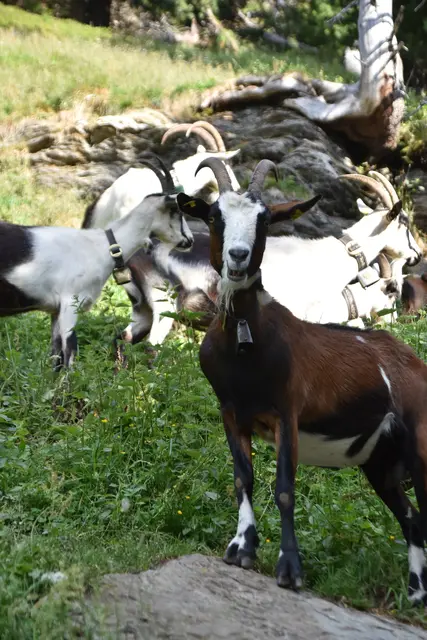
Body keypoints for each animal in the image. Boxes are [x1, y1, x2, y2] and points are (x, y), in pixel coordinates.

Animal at [0, 164, 193, 369]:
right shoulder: (70, 304)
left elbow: (55, 359)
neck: (101, 246)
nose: (190, 240)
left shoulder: (55, 310)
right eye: (177, 212)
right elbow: (70, 355)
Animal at [177, 157, 427, 604]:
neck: (247, 340)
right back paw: (416, 592)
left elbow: (284, 488)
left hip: (420, 443)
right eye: (215, 215)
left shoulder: (286, 414)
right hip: (381, 462)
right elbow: (242, 479)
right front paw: (241, 549)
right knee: (413, 518)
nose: (238, 257)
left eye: (263, 219)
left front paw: (290, 569)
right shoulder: (231, 413)